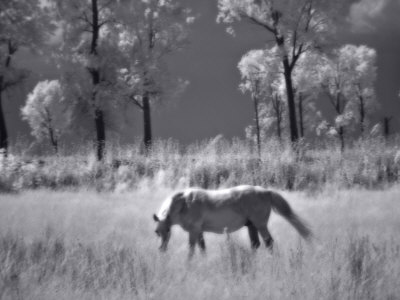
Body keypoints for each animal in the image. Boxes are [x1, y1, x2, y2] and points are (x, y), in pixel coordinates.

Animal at [153, 184, 312, 256]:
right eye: (157, 232)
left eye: (165, 230)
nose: (161, 249)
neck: (184, 203)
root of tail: (265, 191)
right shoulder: (199, 232)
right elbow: (202, 248)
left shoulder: (193, 231)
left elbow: (191, 249)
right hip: (251, 226)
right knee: (255, 244)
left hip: (260, 225)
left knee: (269, 243)